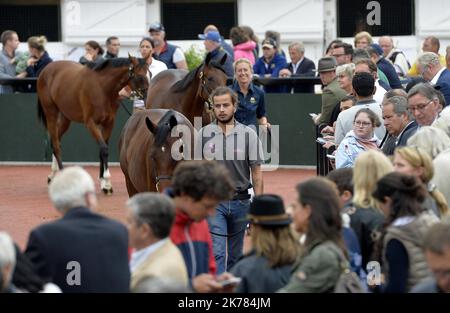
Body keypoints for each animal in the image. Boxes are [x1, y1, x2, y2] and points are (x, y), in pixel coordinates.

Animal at [37, 54, 149, 194]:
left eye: (149, 72)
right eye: (140, 76)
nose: (146, 95)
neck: (102, 87)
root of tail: (46, 70)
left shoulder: (109, 123)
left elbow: (103, 148)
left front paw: (103, 182)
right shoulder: (90, 123)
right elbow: (104, 149)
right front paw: (107, 183)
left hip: (66, 118)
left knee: (55, 140)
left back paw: (52, 175)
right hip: (51, 113)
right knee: (56, 145)